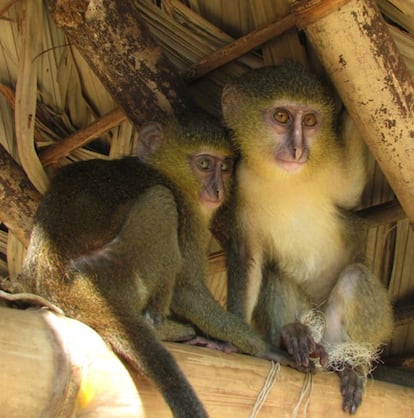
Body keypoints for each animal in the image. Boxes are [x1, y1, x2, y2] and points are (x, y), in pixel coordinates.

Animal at [19, 112, 298, 416]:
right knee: (160, 202)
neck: (167, 172)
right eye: (204, 164)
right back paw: (163, 328)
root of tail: (61, 283)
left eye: (224, 167)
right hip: (117, 271)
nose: (218, 189)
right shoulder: (187, 211)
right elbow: (186, 291)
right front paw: (261, 347)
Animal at [217, 62, 394, 414]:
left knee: (355, 277)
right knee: (276, 274)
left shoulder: (331, 166)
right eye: (282, 116)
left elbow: (353, 191)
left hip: (343, 333)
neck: (286, 179)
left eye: (310, 121)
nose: (298, 150)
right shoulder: (239, 189)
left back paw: (353, 366)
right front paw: (238, 341)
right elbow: (248, 258)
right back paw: (293, 337)